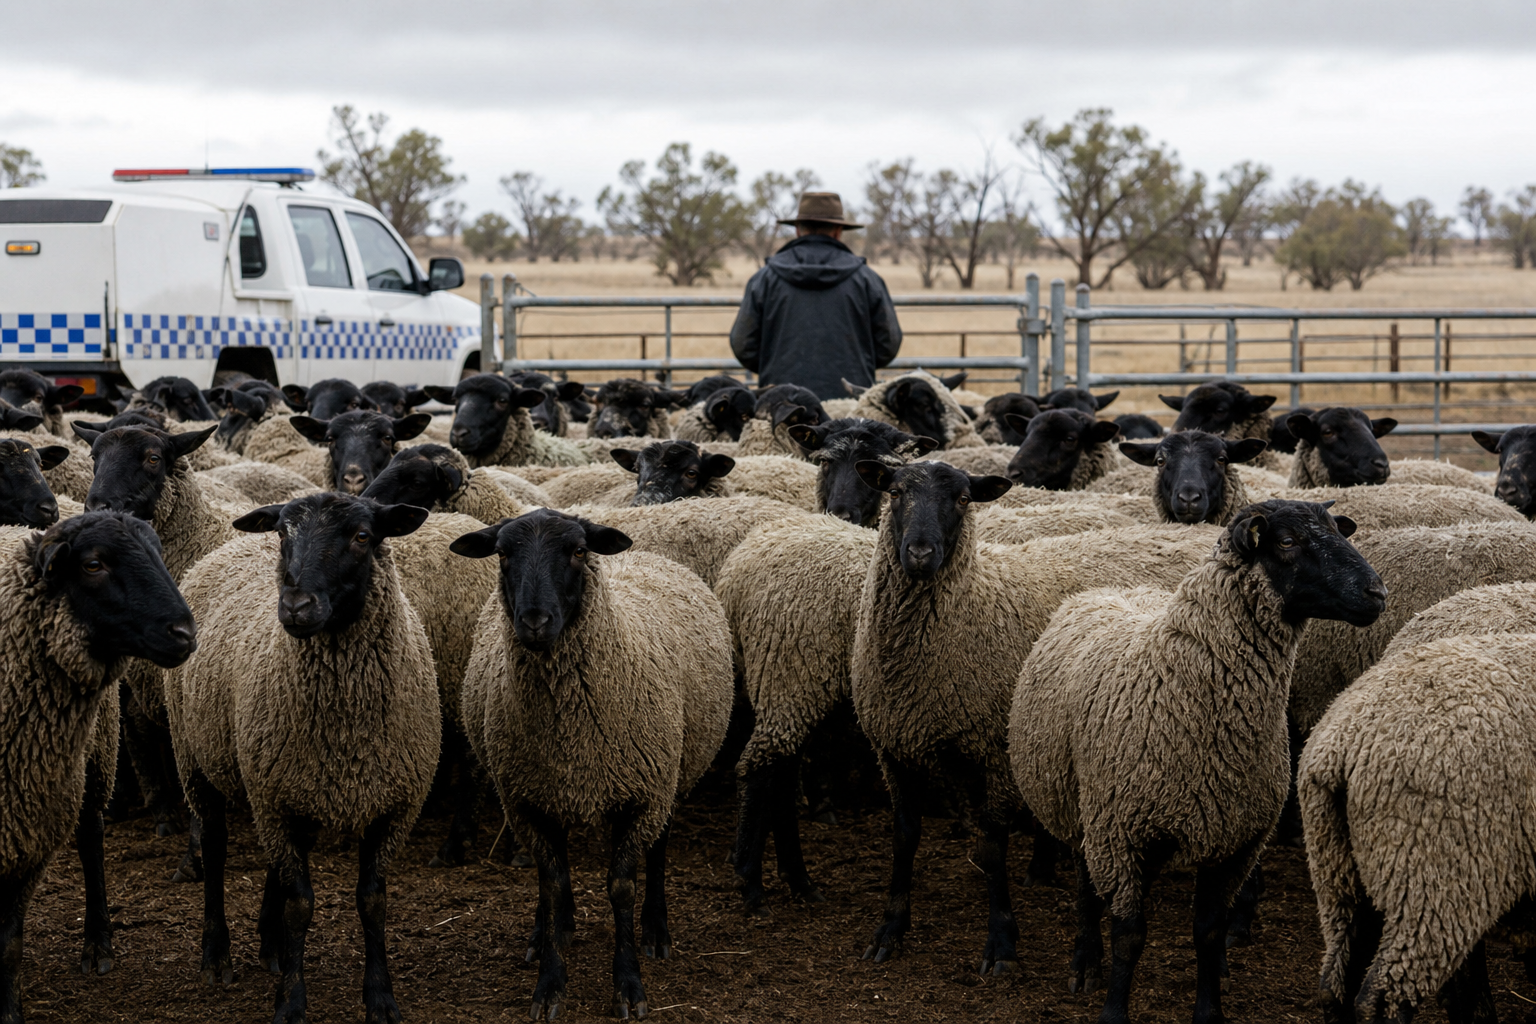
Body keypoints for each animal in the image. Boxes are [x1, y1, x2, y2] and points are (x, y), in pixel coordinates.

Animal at [0, 512, 195, 1019]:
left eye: (158, 551)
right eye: (92, 565)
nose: (185, 634)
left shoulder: (30, 831)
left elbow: (8, 941)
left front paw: (8, 1010)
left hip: (88, 764)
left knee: (90, 840)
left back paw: (98, 945)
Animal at [164, 494, 439, 1020]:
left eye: (362, 536)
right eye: (282, 533)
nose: (295, 606)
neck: (347, 728)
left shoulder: (393, 806)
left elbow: (372, 902)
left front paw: (380, 997)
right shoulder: (276, 800)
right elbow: (301, 904)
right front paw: (291, 1001)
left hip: (282, 782)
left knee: (278, 861)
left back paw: (270, 946)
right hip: (197, 758)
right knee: (215, 849)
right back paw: (216, 955)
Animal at [452, 509, 734, 1020]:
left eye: (579, 551)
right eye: (502, 553)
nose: (535, 620)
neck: (571, 732)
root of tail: (644, 553)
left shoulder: (643, 794)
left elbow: (621, 887)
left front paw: (629, 986)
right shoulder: (527, 800)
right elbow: (551, 883)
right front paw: (549, 982)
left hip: (671, 776)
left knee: (658, 850)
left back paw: (655, 931)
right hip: (549, 788)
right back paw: (549, 931)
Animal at [849, 460, 1222, 971]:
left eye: (963, 499)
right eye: (896, 492)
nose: (921, 553)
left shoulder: (995, 750)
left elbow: (991, 848)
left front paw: (1001, 942)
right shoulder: (893, 747)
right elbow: (904, 839)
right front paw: (890, 929)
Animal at [1010, 500, 1385, 1021]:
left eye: (1337, 530)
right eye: (1287, 542)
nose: (1377, 593)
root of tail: (1107, 590)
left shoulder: (1234, 842)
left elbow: (1207, 932)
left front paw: (1209, 1010)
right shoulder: (1123, 833)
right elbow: (1129, 936)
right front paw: (1114, 1010)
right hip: (1082, 807)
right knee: (1088, 889)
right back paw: (1085, 964)